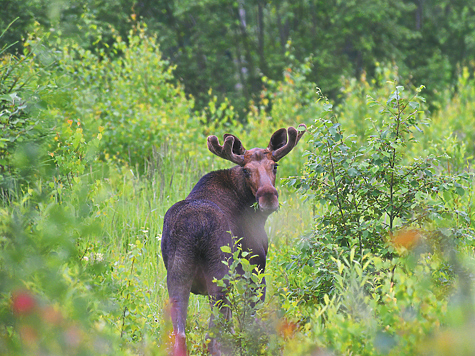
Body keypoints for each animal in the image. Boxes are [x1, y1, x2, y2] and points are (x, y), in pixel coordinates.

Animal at [162, 124, 306, 354]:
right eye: (246, 170)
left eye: (274, 166)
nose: (268, 197)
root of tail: (193, 227)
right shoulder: (256, 266)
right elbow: (249, 319)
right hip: (220, 275)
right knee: (212, 337)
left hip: (178, 274)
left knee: (180, 335)